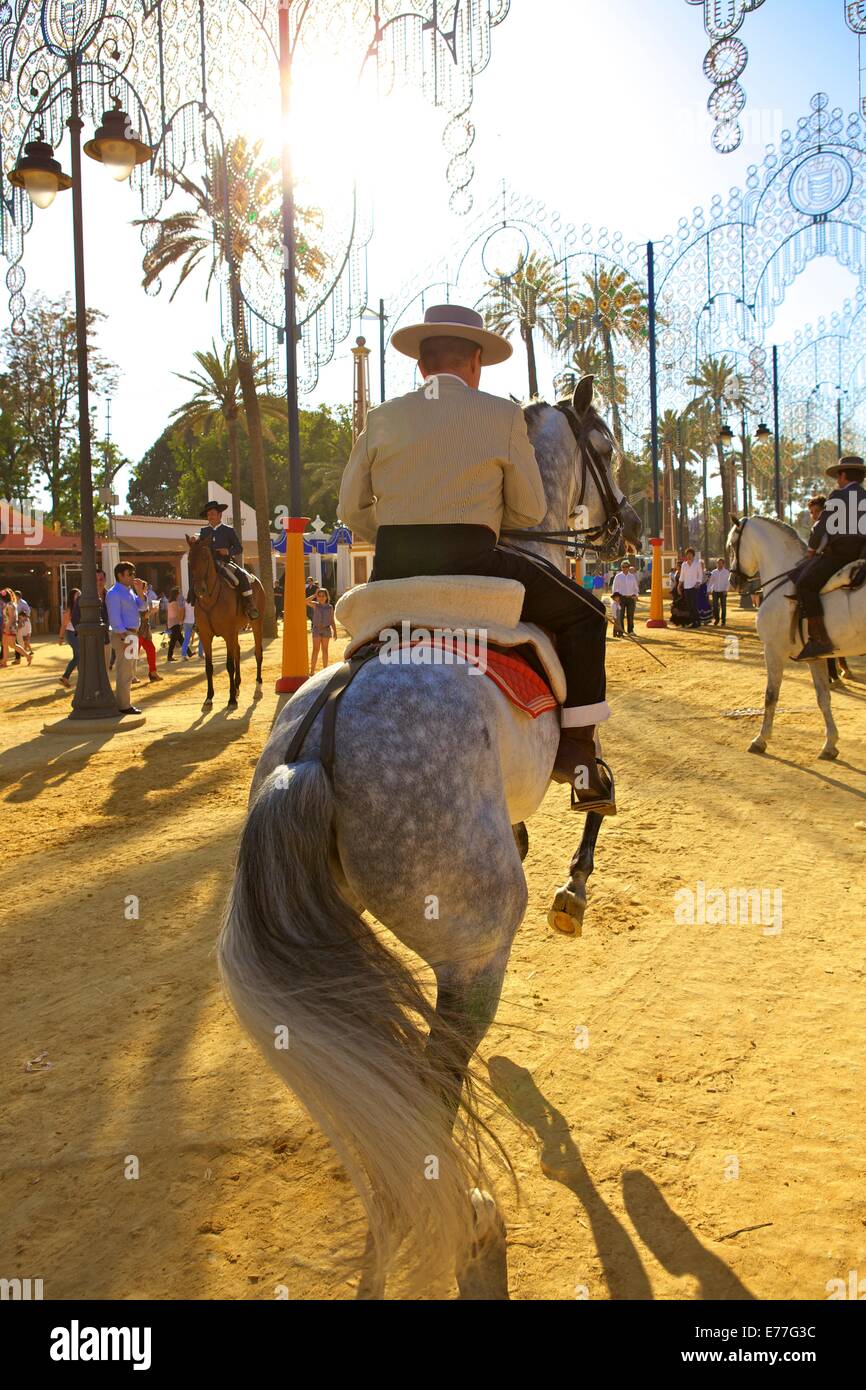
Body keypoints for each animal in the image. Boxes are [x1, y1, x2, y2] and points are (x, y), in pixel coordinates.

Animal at [184, 530, 262, 706]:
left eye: (205, 557)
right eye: (189, 559)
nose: (199, 589)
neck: (210, 599)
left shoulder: (228, 633)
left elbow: (229, 665)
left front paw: (231, 698)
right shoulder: (206, 635)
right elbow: (209, 666)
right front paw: (209, 697)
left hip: (255, 624)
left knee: (258, 653)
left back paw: (257, 687)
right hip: (236, 631)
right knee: (238, 652)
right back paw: (238, 685)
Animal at [728, 517, 861, 761]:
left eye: (733, 544)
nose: (734, 580)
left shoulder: (772, 650)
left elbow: (770, 695)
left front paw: (760, 740)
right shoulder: (815, 657)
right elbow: (823, 697)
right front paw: (830, 744)